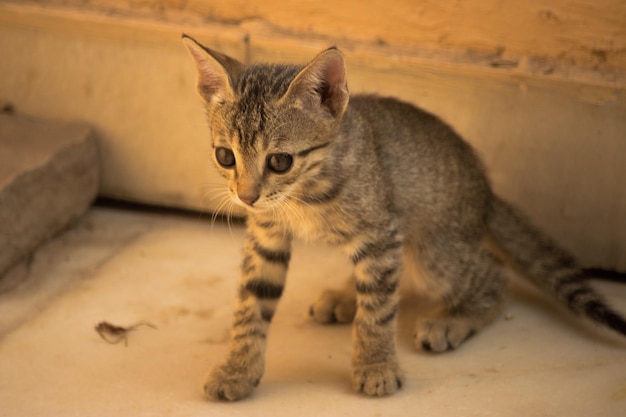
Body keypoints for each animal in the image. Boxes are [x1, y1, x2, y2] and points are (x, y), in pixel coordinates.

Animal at [180, 35, 624, 400]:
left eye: (279, 161)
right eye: (225, 156)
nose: (246, 197)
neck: (303, 196)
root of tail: (486, 191)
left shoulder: (381, 234)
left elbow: (377, 310)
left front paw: (375, 364)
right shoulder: (267, 239)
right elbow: (251, 305)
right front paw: (238, 368)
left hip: (432, 252)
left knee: (493, 277)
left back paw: (451, 320)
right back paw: (344, 296)